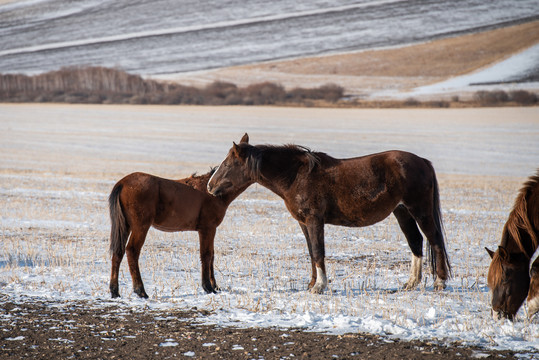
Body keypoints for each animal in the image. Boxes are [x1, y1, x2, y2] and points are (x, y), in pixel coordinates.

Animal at [109, 169, 249, 298]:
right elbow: (207, 255)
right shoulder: (208, 229)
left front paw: (215, 286)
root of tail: (123, 183)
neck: (214, 191)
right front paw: (209, 287)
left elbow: (212, 256)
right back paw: (140, 291)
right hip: (140, 227)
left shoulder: (210, 230)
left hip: (125, 226)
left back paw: (115, 291)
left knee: (118, 252)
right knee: (132, 251)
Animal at [207, 134, 452, 294]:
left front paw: (319, 286)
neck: (297, 176)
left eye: (227, 163)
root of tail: (422, 162)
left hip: (420, 210)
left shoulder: (315, 221)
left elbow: (318, 252)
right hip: (402, 212)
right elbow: (311, 252)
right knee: (416, 242)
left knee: (434, 240)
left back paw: (440, 282)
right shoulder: (304, 223)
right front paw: (311, 283)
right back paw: (411, 283)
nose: (210, 186)